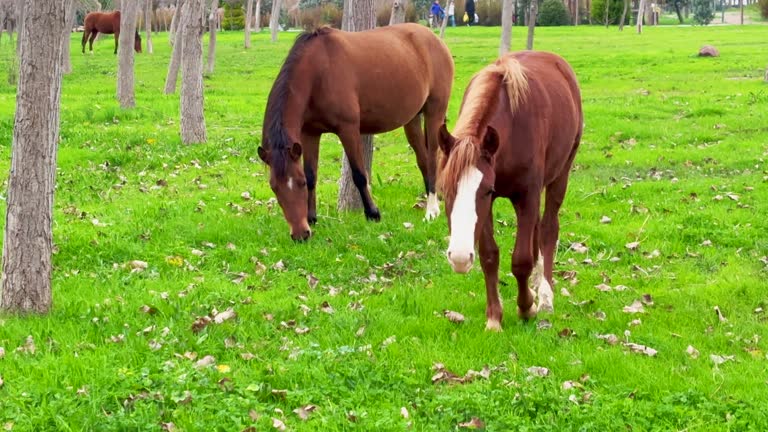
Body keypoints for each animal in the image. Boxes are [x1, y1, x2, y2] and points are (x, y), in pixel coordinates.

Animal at [258, 23, 452, 241]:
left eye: (299, 183)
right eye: (274, 188)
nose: (301, 234)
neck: (318, 72)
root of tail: (434, 39)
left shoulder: (348, 129)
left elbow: (359, 174)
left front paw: (372, 213)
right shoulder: (310, 134)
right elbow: (312, 175)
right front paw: (312, 217)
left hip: (435, 112)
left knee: (433, 158)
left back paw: (432, 210)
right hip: (412, 120)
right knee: (423, 159)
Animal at [438, 52, 584, 332]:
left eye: (486, 190)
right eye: (443, 190)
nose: (459, 257)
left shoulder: (525, 194)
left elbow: (521, 260)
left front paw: (526, 307)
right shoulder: (491, 206)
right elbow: (489, 256)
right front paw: (494, 317)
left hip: (561, 174)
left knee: (548, 229)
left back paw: (545, 296)